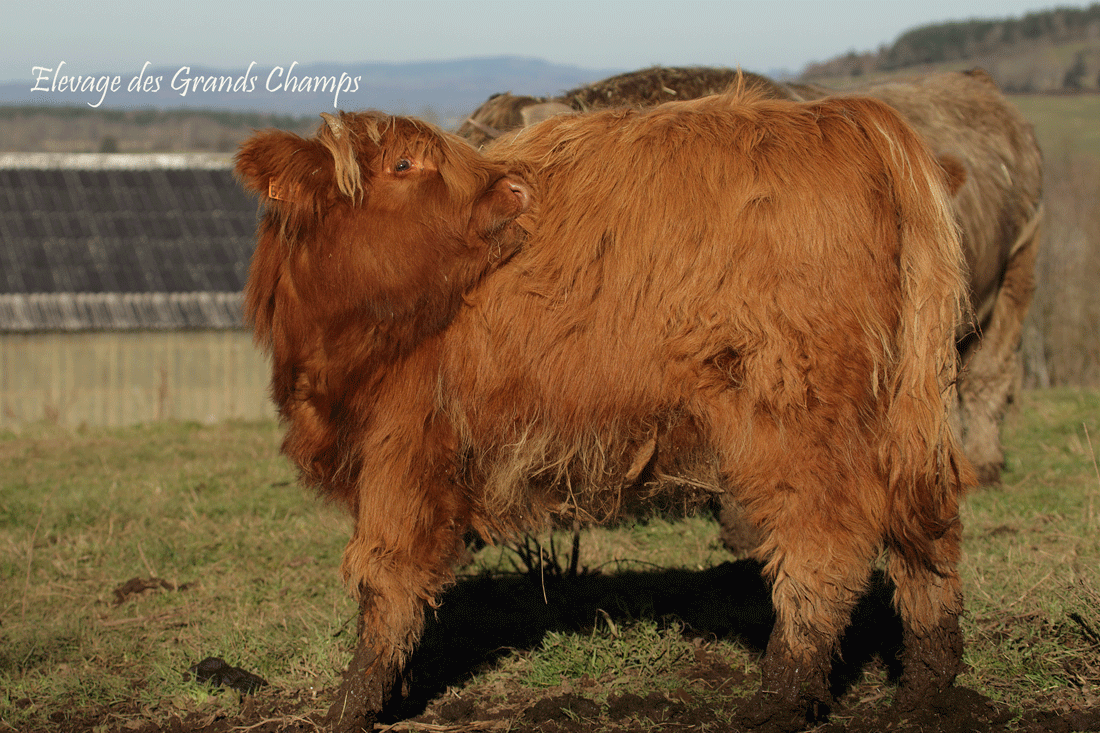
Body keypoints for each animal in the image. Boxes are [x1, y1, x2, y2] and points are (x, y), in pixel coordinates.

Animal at [238, 93, 972, 730]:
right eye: (402, 165)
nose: (515, 190)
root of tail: (849, 116)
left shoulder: (402, 449)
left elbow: (385, 579)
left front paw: (351, 707)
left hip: (794, 413)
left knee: (824, 539)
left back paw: (782, 697)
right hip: (902, 411)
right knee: (925, 526)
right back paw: (927, 689)